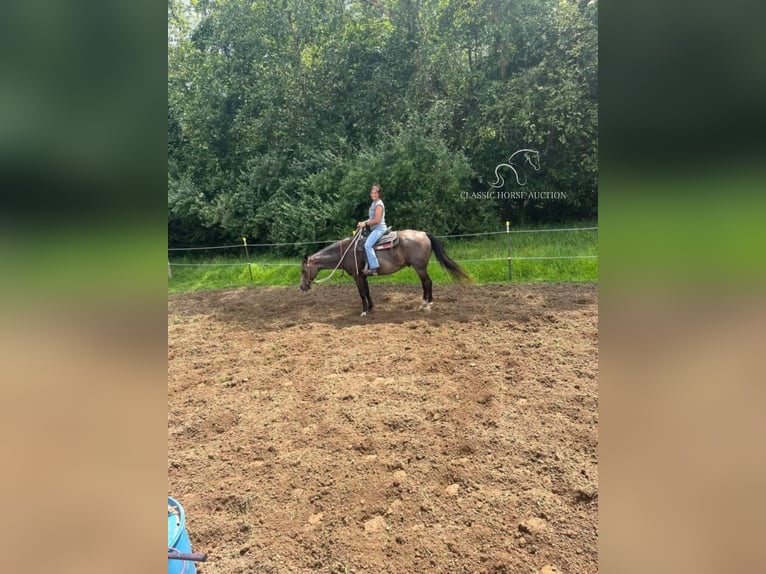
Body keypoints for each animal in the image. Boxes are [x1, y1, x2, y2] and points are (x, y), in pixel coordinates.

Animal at [302, 230, 474, 318]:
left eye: (303, 270)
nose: (302, 287)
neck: (347, 251)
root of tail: (424, 234)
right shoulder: (363, 275)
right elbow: (367, 291)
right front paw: (371, 307)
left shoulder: (357, 276)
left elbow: (361, 293)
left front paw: (364, 311)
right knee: (426, 283)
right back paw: (425, 303)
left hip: (419, 268)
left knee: (427, 283)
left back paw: (426, 305)